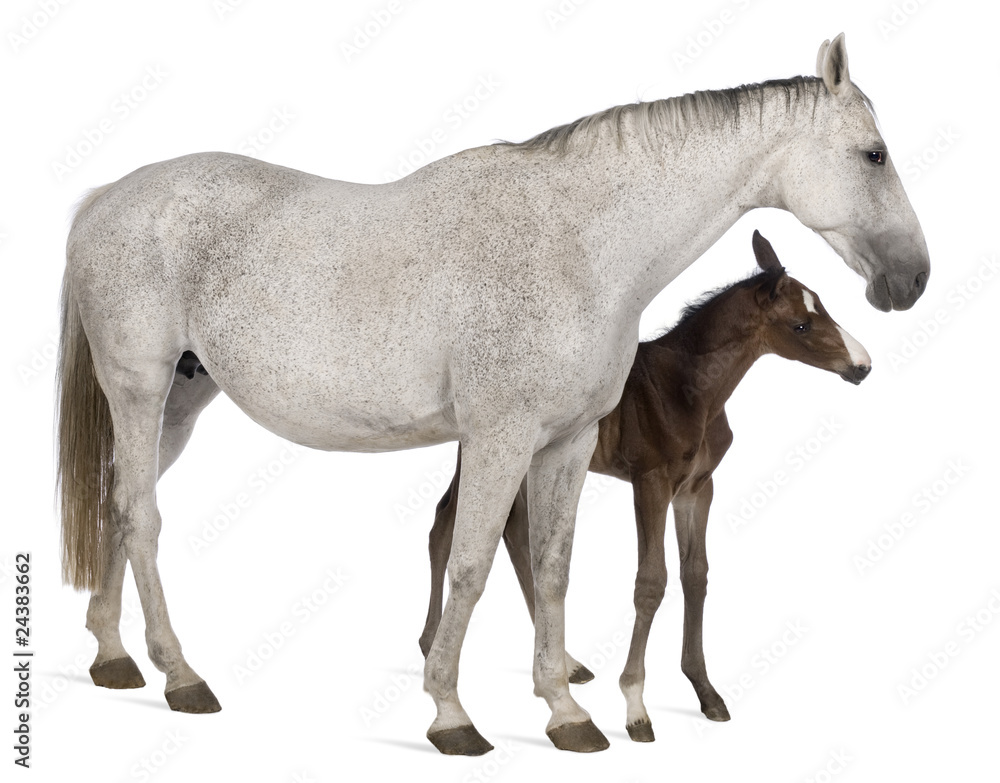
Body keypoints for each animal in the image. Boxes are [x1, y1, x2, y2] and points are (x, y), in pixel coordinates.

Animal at [419, 230, 872, 742]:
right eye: (800, 325)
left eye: (823, 307)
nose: (862, 366)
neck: (689, 390)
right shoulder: (651, 482)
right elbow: (651, 582)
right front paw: (635, 706)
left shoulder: (697, 489)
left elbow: (696, 574)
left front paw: (705, 691)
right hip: (494, 452)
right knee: (445, 525)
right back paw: (433, 644)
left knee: (511, 534)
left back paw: (565, 663)